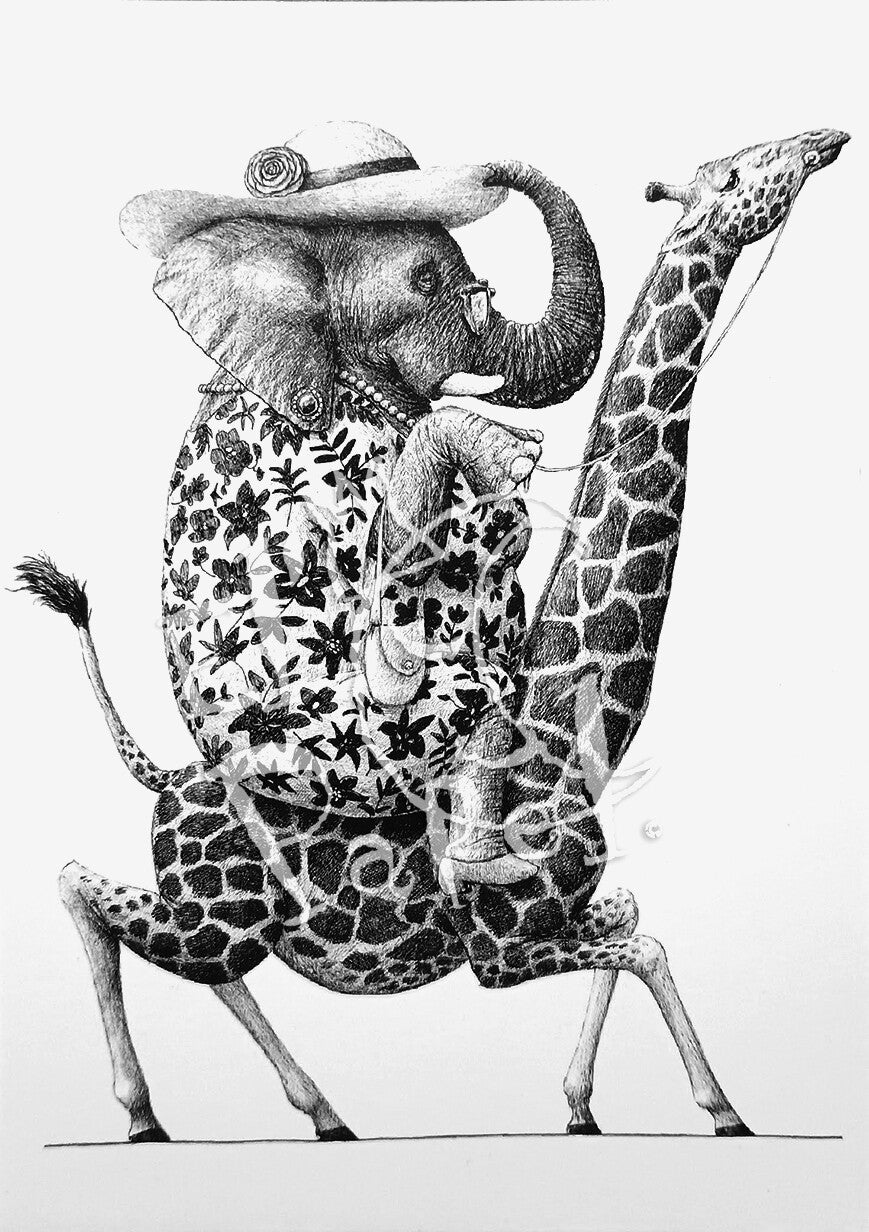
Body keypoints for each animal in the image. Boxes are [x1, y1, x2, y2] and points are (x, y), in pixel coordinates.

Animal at [16, 127, 846, 1142]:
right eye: (738, 172)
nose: (825, 142)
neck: (574, 738)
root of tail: (168, 778)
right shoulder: (502, 948)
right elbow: (645, 944)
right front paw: (722, 1112)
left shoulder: (564, 915)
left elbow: (631, 917)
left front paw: (582, 1108)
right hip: (214, 909)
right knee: (81, 889)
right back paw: (146, 1116)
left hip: (220, 917)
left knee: (190, 957)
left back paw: (318, 1113)